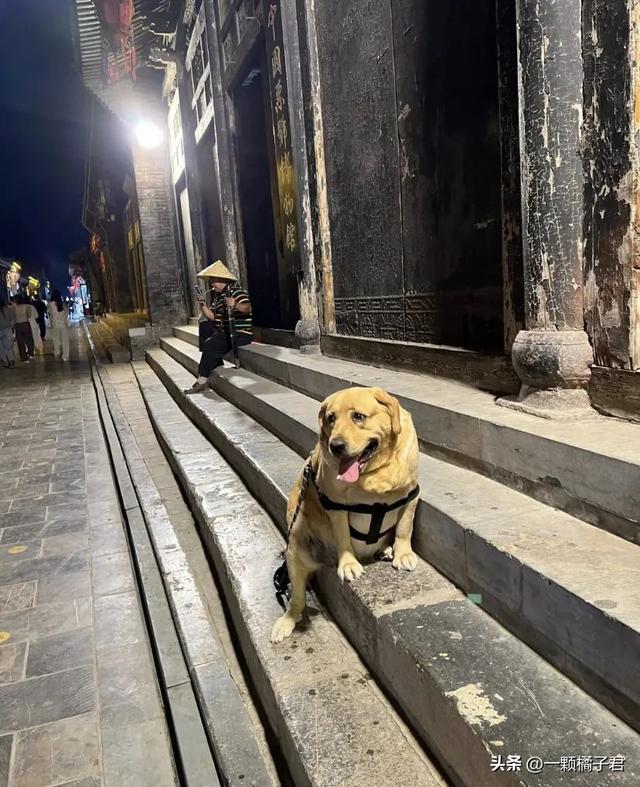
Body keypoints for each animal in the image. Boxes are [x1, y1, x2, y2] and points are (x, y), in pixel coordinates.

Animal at [270, 384, 420, 644]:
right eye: (331, 418)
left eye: (358, 416)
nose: (336, 446)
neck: (374, 473)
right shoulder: (336, 506)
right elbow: (343, 538)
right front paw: (348, 564)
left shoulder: (411, 495)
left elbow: (404, 528)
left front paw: (403, 554)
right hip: (296, 550)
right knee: (296, 600)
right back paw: (286, 622)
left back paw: (386, 550)